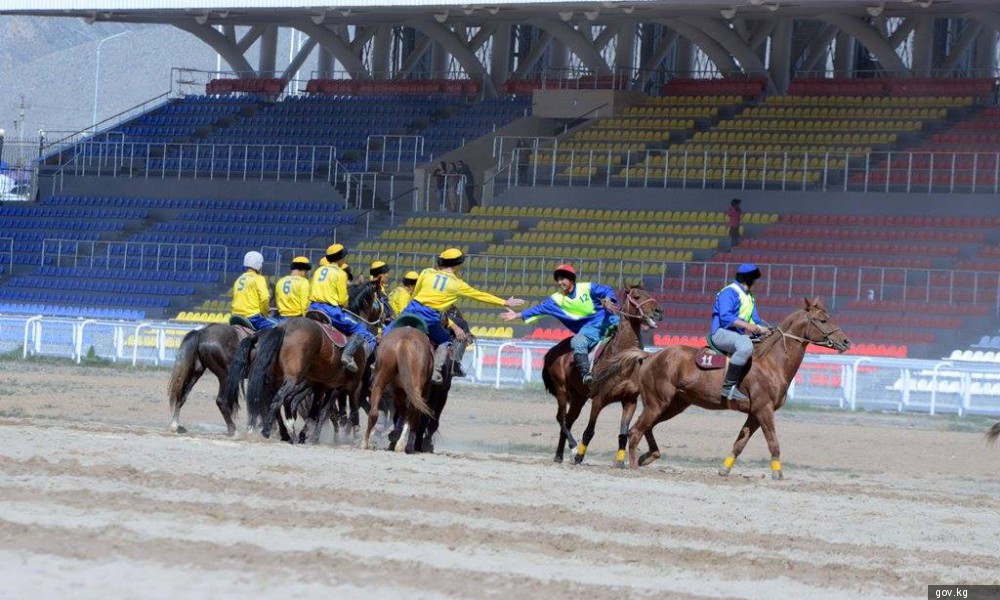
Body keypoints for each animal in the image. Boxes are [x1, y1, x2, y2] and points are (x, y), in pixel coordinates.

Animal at [243, 280, 382, 440]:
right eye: (381, 298)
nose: (386, 318)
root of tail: (284, 327)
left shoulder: (325, 385)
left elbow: (318, 411)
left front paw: (308, 434)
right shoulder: (349, 385)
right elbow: (339, 411)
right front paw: (352, 434)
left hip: (279, 377)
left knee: (279, 400)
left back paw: (286, 432)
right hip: (294, 379)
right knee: (281, 399)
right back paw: (273, 431)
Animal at [540, 284, 664, 466]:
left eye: (650, 293)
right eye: (637, 296)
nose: (658, 311)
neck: (622, 359)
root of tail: (554, 350)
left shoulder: (630, 400)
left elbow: (623, 433)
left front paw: (619, 462)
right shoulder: (599, 399)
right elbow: (589, 431)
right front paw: (579, 456)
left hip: (579, 397)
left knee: (568, 421)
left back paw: (559, 455)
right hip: (561, 390)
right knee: (561, 419)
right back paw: (573, 448)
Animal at [596, 298, 848, 478]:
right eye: (822, 320)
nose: (845, 342)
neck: (771, 361)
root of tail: (650, 356)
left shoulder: (755, 414)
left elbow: (740, 442)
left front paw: (725, 469)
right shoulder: (764, 410)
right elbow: (773, 442)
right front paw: (778, 473)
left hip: (673, 405)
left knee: (645, 428)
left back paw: (647, 457)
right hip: (658, 403)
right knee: (635, 431)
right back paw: (633, 466)